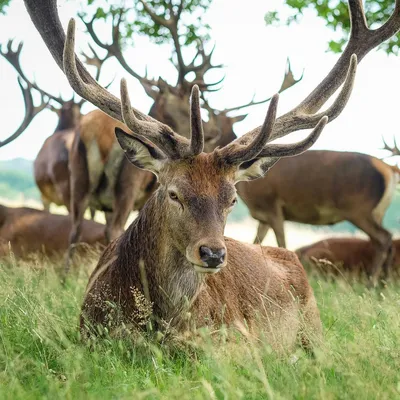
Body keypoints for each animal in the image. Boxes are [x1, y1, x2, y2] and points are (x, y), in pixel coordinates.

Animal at [238, 148, 400, 280]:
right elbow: (256, 241)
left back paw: (372, 282)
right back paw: (383, 281)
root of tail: (389, 169)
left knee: (384, 238)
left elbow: (281, 242)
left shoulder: (272, 207)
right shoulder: (264, 217)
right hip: (377, 212)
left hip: (359, 209)